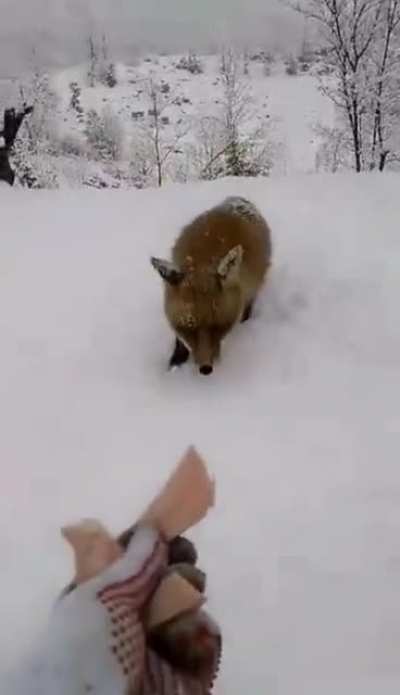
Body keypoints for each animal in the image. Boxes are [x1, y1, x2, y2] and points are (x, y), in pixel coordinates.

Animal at [151, 195, 272, 375]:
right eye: (189, 327)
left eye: (219, 326)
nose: (205, 369)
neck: (203, 258)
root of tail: (238, 199)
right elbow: (179, 341)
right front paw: (176, 361)